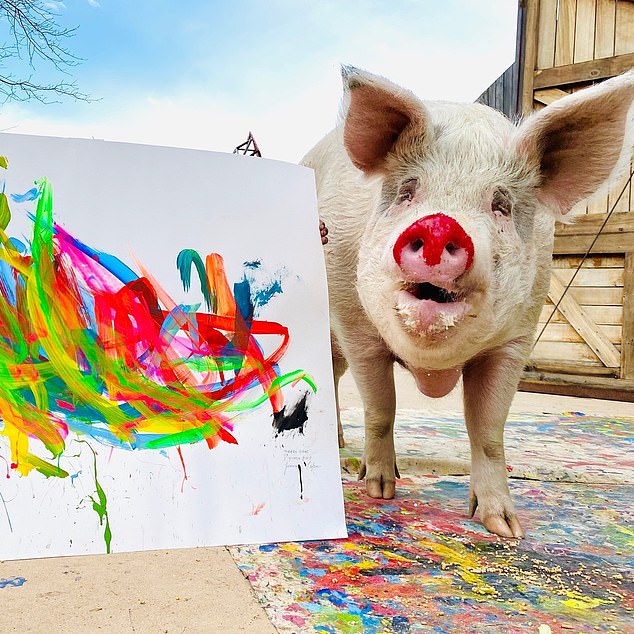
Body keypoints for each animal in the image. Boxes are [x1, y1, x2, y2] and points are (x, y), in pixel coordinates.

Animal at [300, 66, 632, 536]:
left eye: (501, 204)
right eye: (407, 191)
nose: (440, 225)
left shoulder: (516, 339)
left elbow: (489, 429)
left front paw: (506, 528)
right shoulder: (355, 324)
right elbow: (382, 406)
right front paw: (380, 490)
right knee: (333, 376)